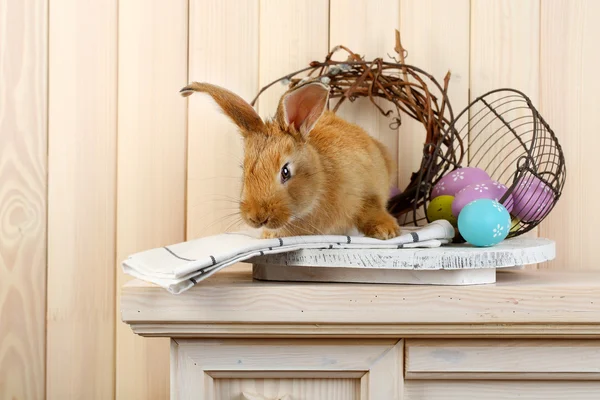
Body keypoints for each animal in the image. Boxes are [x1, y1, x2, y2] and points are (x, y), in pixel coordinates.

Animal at [180, 79, 400, 239]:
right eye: (243, 169)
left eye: (285, 172)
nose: (257, 217)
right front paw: (269, 236)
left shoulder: (368, 191)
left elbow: (371, 209)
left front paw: (387, 232)